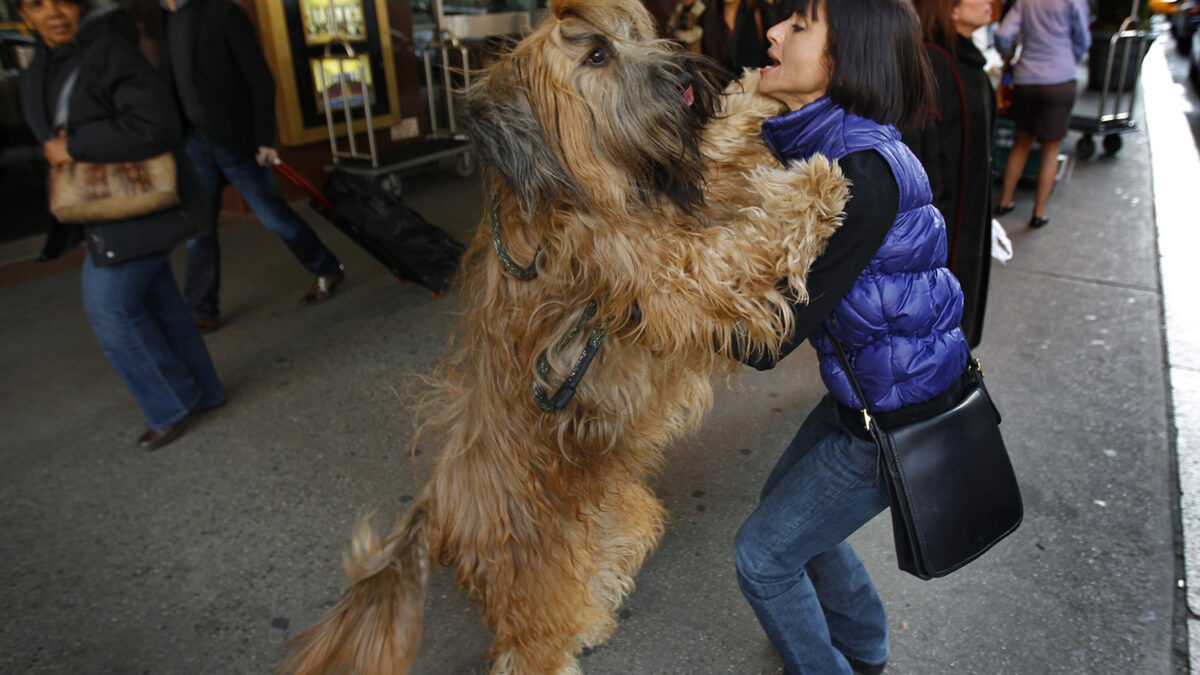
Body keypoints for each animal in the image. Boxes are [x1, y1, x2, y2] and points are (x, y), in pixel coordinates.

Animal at [279, 2, 844, 667]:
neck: (586, 196)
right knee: (524, 641)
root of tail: (436, 502)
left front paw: (759, 91)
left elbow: (722, 151)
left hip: (614, 508)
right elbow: (745, 243)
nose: (690, 68)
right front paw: (816, 186)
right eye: (597, 55)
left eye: (632, 34)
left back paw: (595, 609)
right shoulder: (676, 275)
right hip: (528, 565)